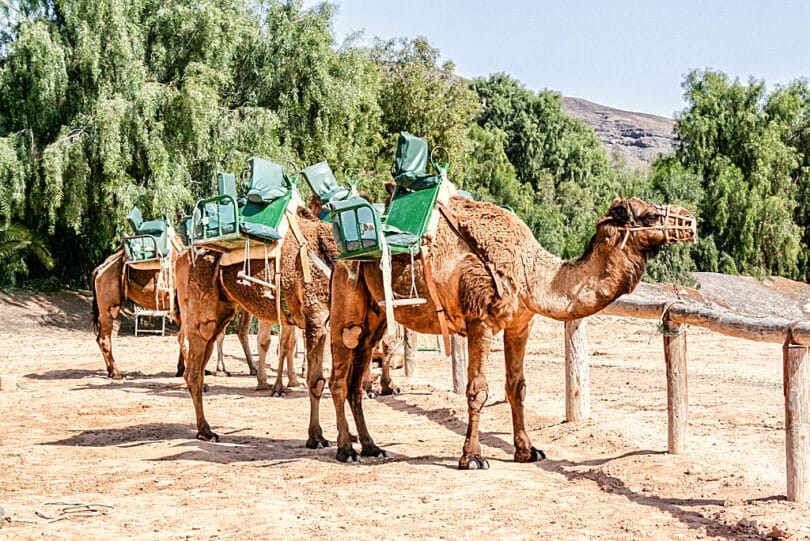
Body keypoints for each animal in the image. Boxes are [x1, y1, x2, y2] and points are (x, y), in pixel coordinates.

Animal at [326, 196, 696, 466]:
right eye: (649, 215)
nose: (690, 221)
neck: (530, 272)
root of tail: (339, 255)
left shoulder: (520, 323)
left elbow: (517, 387)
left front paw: (528, 450)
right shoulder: (480, 320)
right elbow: (477, 390)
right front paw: (472, 457)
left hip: (376, 315)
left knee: (357, 378)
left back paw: (371, 447)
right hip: (346, 301)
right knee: (339, 375)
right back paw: (345, 449)